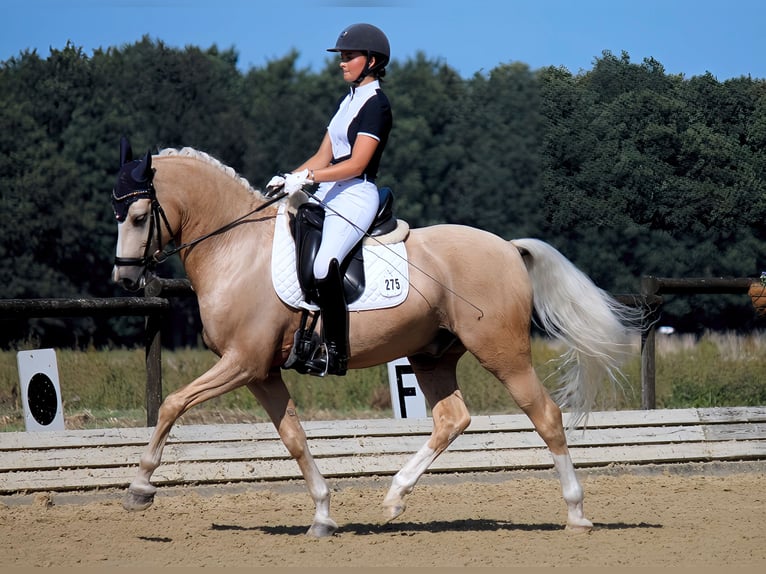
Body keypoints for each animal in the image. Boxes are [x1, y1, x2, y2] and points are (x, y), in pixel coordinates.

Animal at [112, 140, 640, 540]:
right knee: (452, 418)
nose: (124, 279)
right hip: (431, 355)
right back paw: (394, 497)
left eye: (137, 216)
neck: (235, 249)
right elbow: (294, 438)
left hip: (503, 353)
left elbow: (173, 404)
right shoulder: (260, 372)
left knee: (546, 416)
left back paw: (576, 513)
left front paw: (139, 488)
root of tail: (508, 248)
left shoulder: (243, 362)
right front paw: (323, 515)